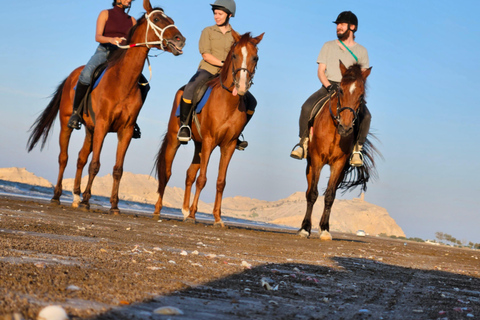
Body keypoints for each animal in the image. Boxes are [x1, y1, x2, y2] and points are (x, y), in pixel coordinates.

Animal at [25, 0, 186, 215]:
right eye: (157, 19)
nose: (181, 40)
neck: (122, 82)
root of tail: (72, 75)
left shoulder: (125, 131)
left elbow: (118, 169)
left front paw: (114, 205)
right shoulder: (102, 125)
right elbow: (95, 165)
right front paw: (87, 200)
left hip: (90, 130)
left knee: (80, 158)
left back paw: (75, 196)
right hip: (67, 123)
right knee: (64, 157)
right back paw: (57, 196)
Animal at [154, 30, 264, 225]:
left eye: (255, 58)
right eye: (234, 55)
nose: (242, 86)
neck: (228, 103)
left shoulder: (228, 145)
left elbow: (221, 182)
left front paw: (217, 218)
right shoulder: (209, 141)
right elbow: (202, 179)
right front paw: (193, 215)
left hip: (198, 145)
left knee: (190, 173)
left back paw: (184, 210)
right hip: (176, 139)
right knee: (166, 172)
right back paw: (159, 210)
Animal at [296, 60, 378, 240]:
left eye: (361, 95)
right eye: (340, 90)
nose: (345, 128)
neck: (335, 131)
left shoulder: (338, 164)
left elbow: (330, 196)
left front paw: (325, 229)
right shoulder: (317, 159)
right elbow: (312, 194)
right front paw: (305, 228)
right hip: (310, 164)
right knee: (308, 192)